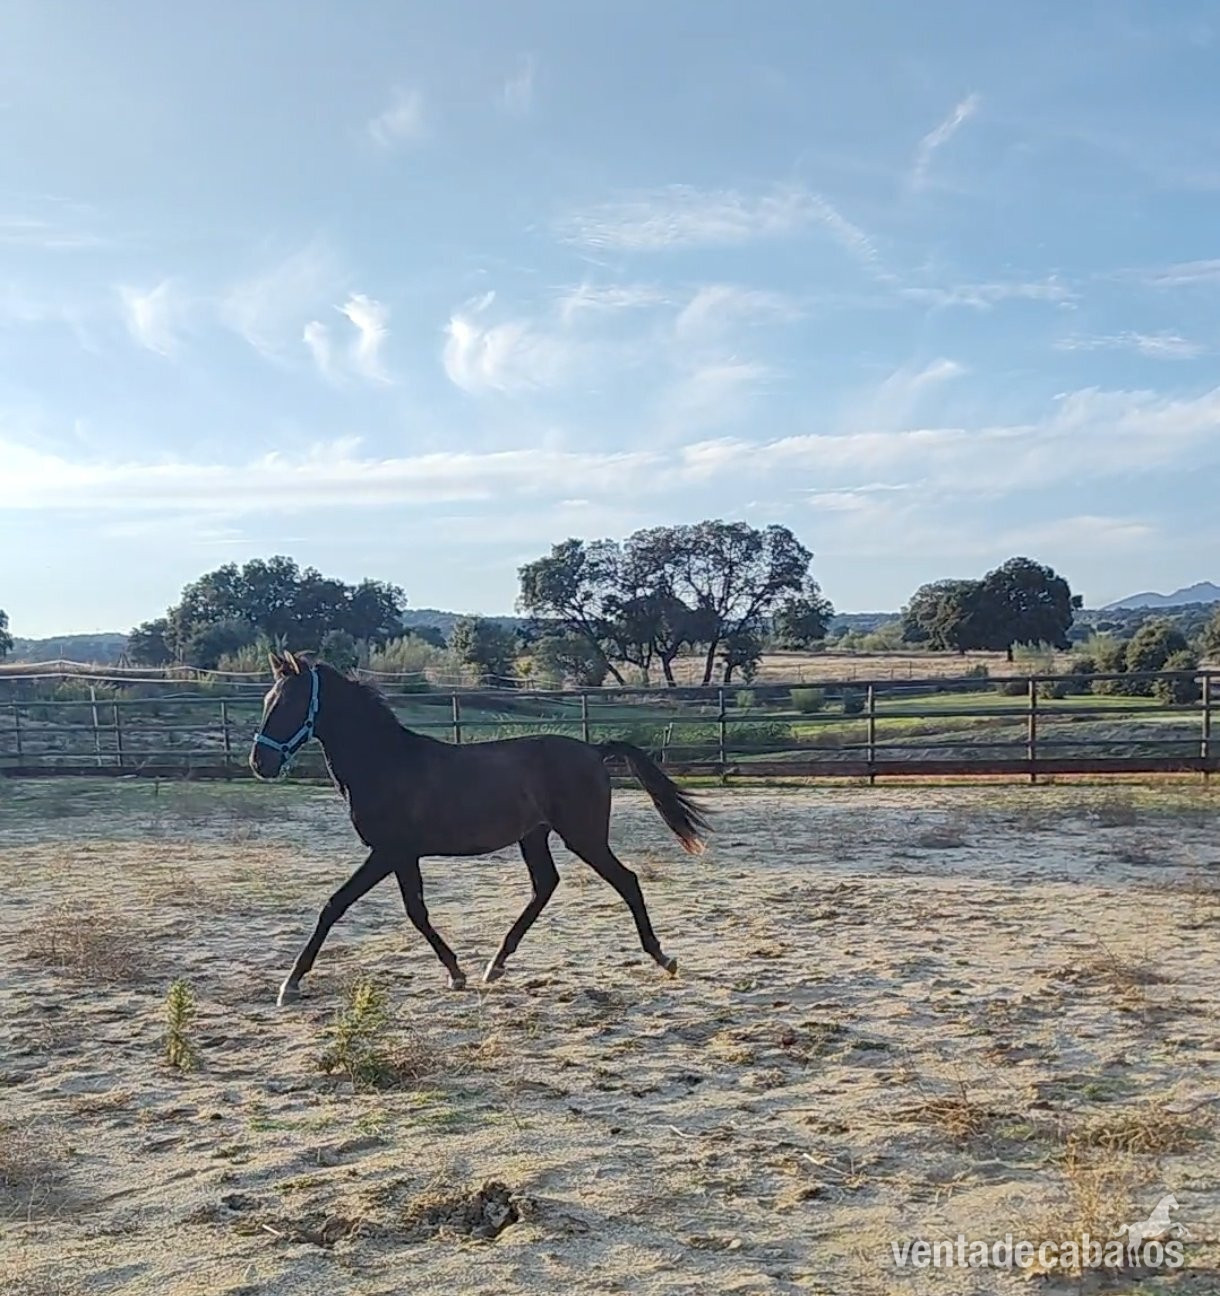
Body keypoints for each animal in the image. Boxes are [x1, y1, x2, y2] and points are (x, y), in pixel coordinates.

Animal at [249, 651, 711, 1006]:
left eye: (287, 704)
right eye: (268, 700)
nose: (260, 763)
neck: (385, 763)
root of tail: (594, 751)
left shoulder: (389, 852)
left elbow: (337, 905)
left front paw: (290, 983)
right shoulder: (402, 855)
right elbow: (415, 911)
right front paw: (457, 972)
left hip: (584, 836)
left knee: (625, 880)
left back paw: (663, 957)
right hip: (534, 836)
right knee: (545, 885)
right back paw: (496, 964)